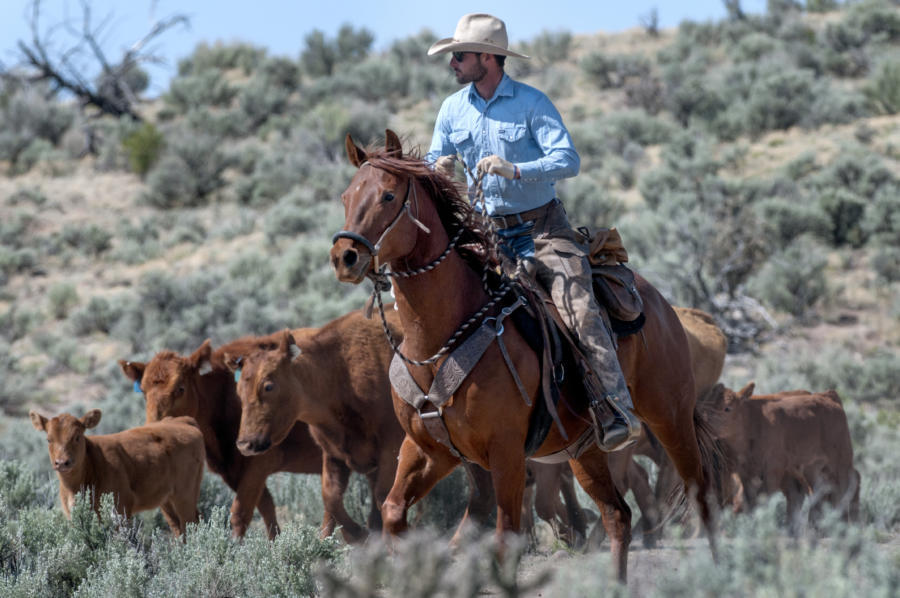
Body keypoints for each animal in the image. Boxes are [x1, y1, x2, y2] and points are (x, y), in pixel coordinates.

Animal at [30, 409, 204, 536]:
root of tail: (183, 421)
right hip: (166, 498)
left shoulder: (121, 507)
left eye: (77, 437)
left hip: (185, 494)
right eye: (49, 439)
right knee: (178, 527)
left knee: (190, 523)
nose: (62, 462)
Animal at [119, 340, 323, 539]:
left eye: (180, 388)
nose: (155, 428)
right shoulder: (233, 471)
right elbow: (267, 509)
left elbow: (240, 514)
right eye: (143, 391)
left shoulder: (258, 464)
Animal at [710, 383, 861, 530]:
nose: (709, 426)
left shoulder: (773, 468)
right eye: (709, 407)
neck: (753, 422)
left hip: (841, 460)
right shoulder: (745, 474)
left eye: (727, 408)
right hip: (810, 469)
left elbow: (764, 497)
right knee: (815, 493)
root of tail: (828, 396)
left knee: (847, 487)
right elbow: (751, 501)